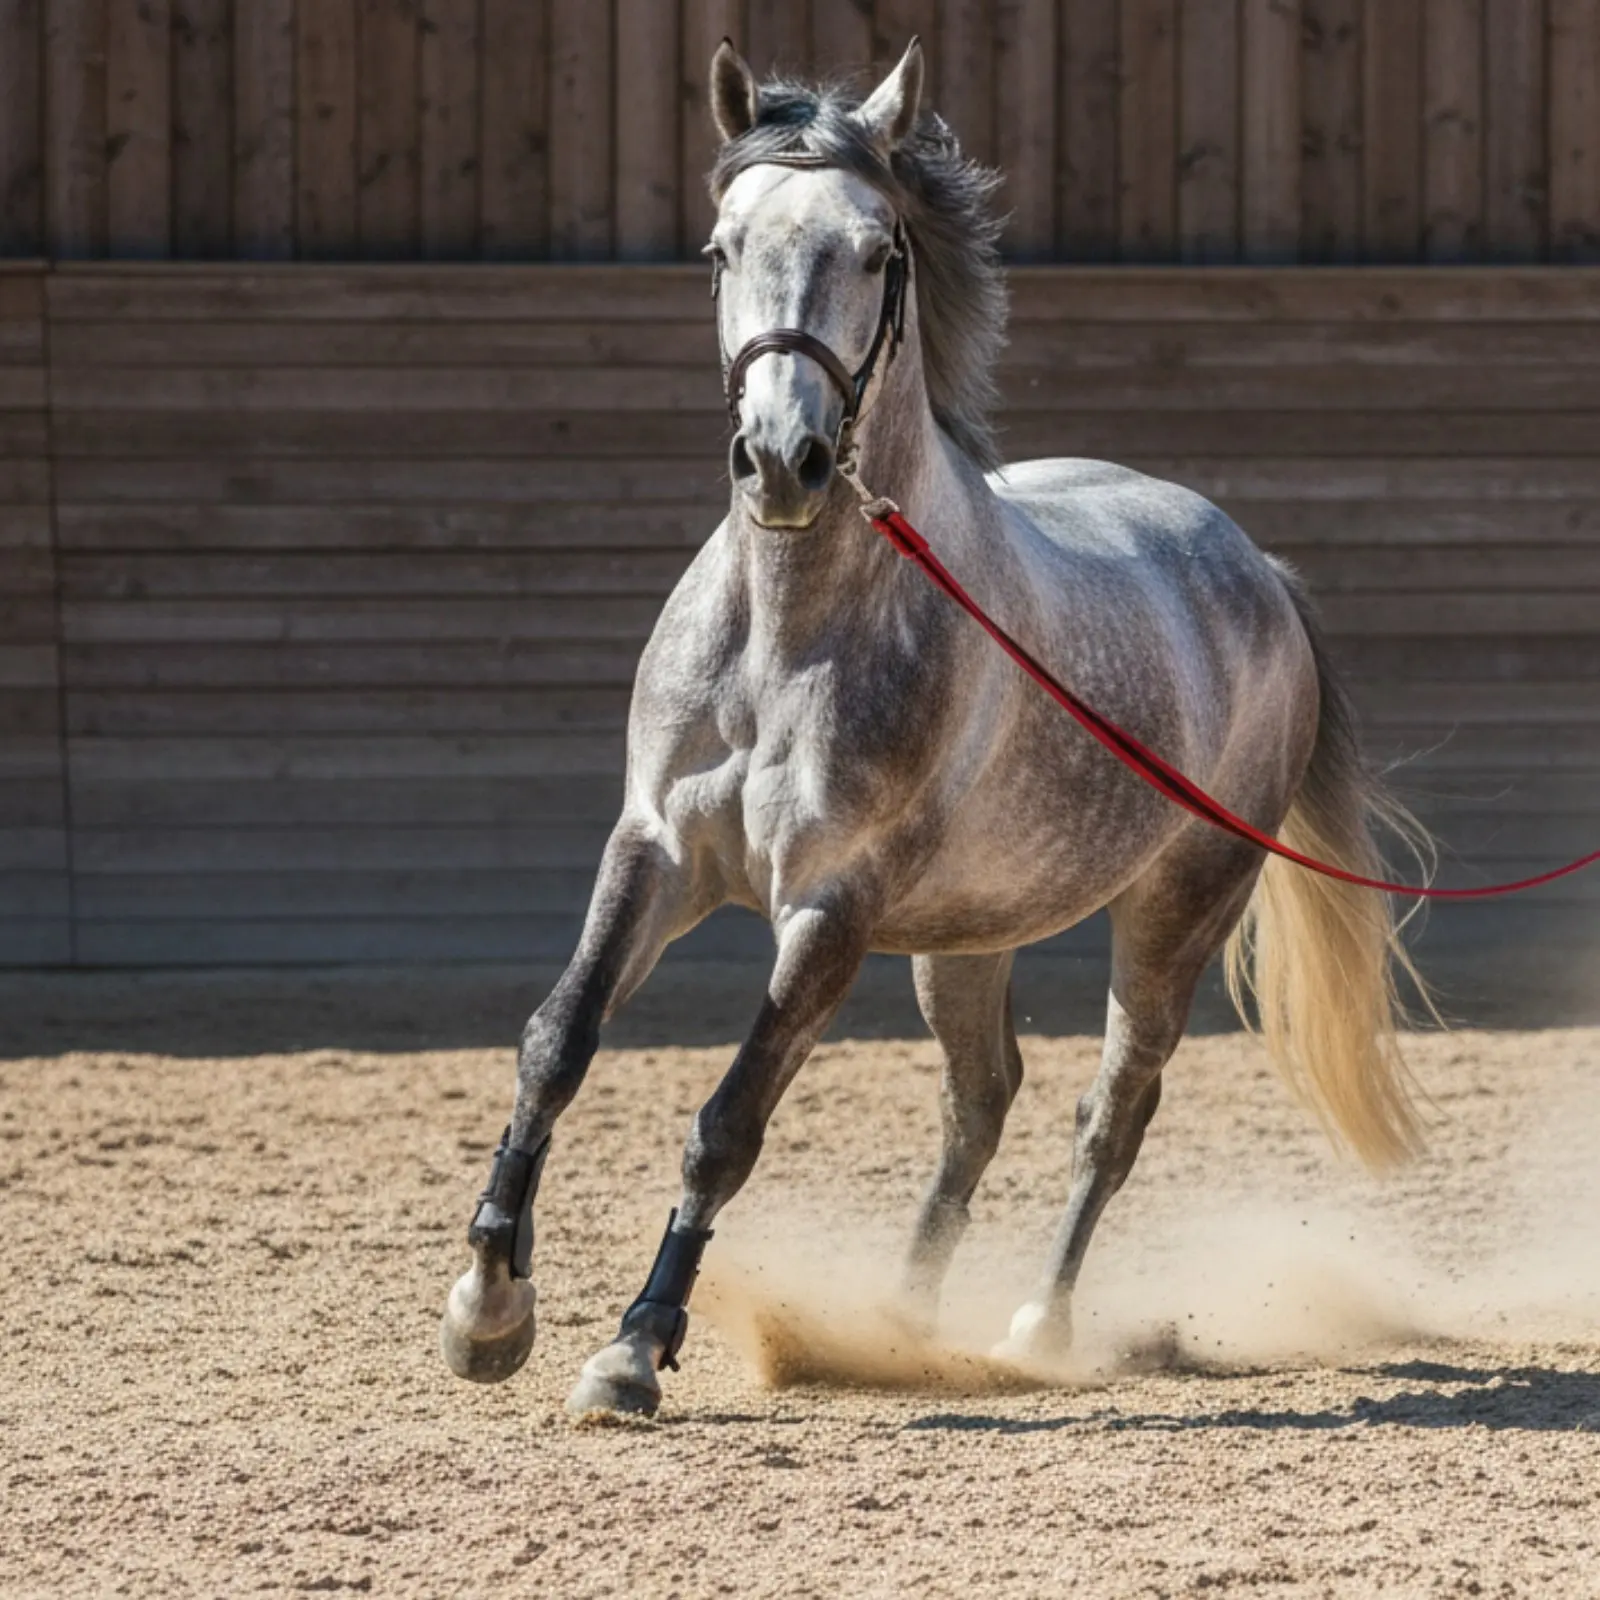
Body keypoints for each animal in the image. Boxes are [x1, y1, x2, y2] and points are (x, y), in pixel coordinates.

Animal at [440, 38, 1431, 1419]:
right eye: (719, 249)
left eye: (874, 252)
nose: (783, 461)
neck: (786, 638)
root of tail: (1258, 571)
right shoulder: (655, 853)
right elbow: (555, 1043)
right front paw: (486, 1309)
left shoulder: (831, 911)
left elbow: (727, 1121)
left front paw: (633, 1348)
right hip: (966, 935)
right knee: (981, 1100)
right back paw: (903, 1326)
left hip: (1178, 908)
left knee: (1109, 1113)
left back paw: (1032, 1328)